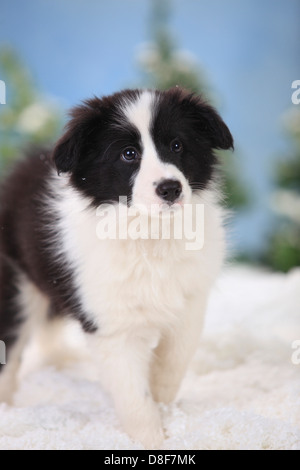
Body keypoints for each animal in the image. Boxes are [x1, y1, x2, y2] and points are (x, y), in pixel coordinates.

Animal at [0, 88, 234, 448]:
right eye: (128, 154)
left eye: (176, 145)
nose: (170, 188)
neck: (148, 233)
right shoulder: (112, 326)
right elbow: (133, 394)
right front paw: (152, 440)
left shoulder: (191, 300)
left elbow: (174, 360)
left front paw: (164, 404)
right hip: (17, 282)